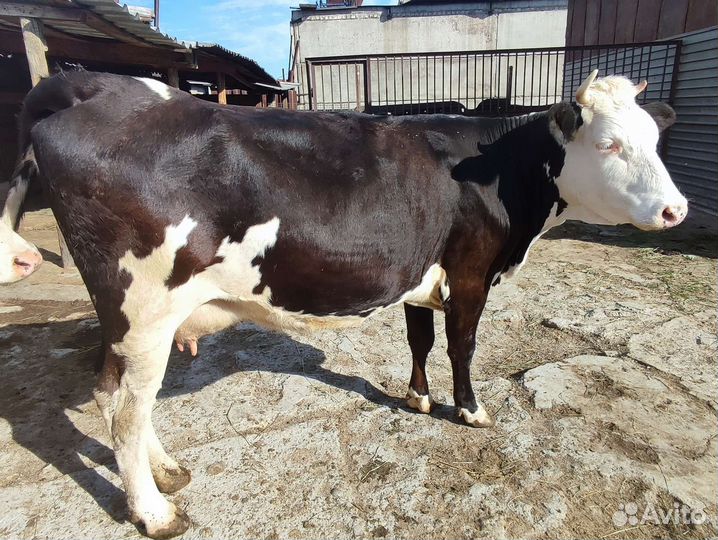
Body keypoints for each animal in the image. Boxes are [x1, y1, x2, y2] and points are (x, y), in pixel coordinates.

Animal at [1, 69, 686, 538]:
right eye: (610, 145)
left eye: (656, 141)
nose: (676, 210)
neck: (498, 168)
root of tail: (96, 86)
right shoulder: (470, 276)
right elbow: (462, 346)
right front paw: (469, 410)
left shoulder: (421, 276)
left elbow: (420, 338)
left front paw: (417, 397)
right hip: (142, 308)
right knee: (125, 408)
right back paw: (154, 510)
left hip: (132, 321)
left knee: (116, 397)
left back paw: (167, 471)